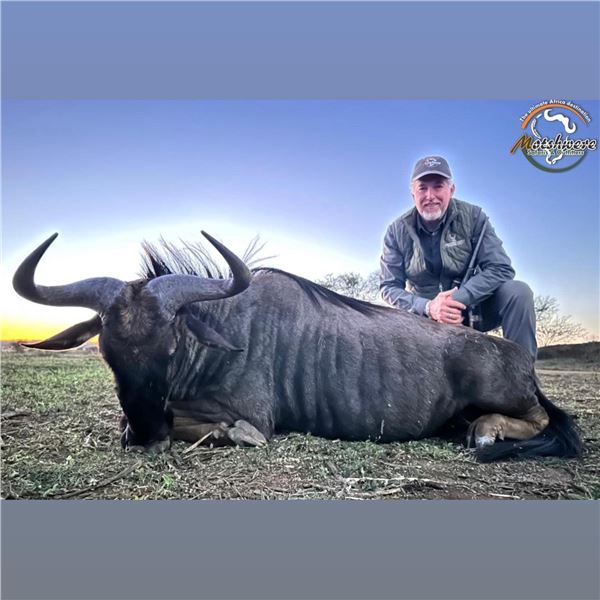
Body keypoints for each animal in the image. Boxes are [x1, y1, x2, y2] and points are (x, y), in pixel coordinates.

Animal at [13, 232, 582, 462]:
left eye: (170, 348)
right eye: (108, 353)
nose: (145, 438)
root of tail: (520, 360)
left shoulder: (249, 418)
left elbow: (221, 429)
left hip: (508, 396)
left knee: (542, 419)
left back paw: (486, 433)